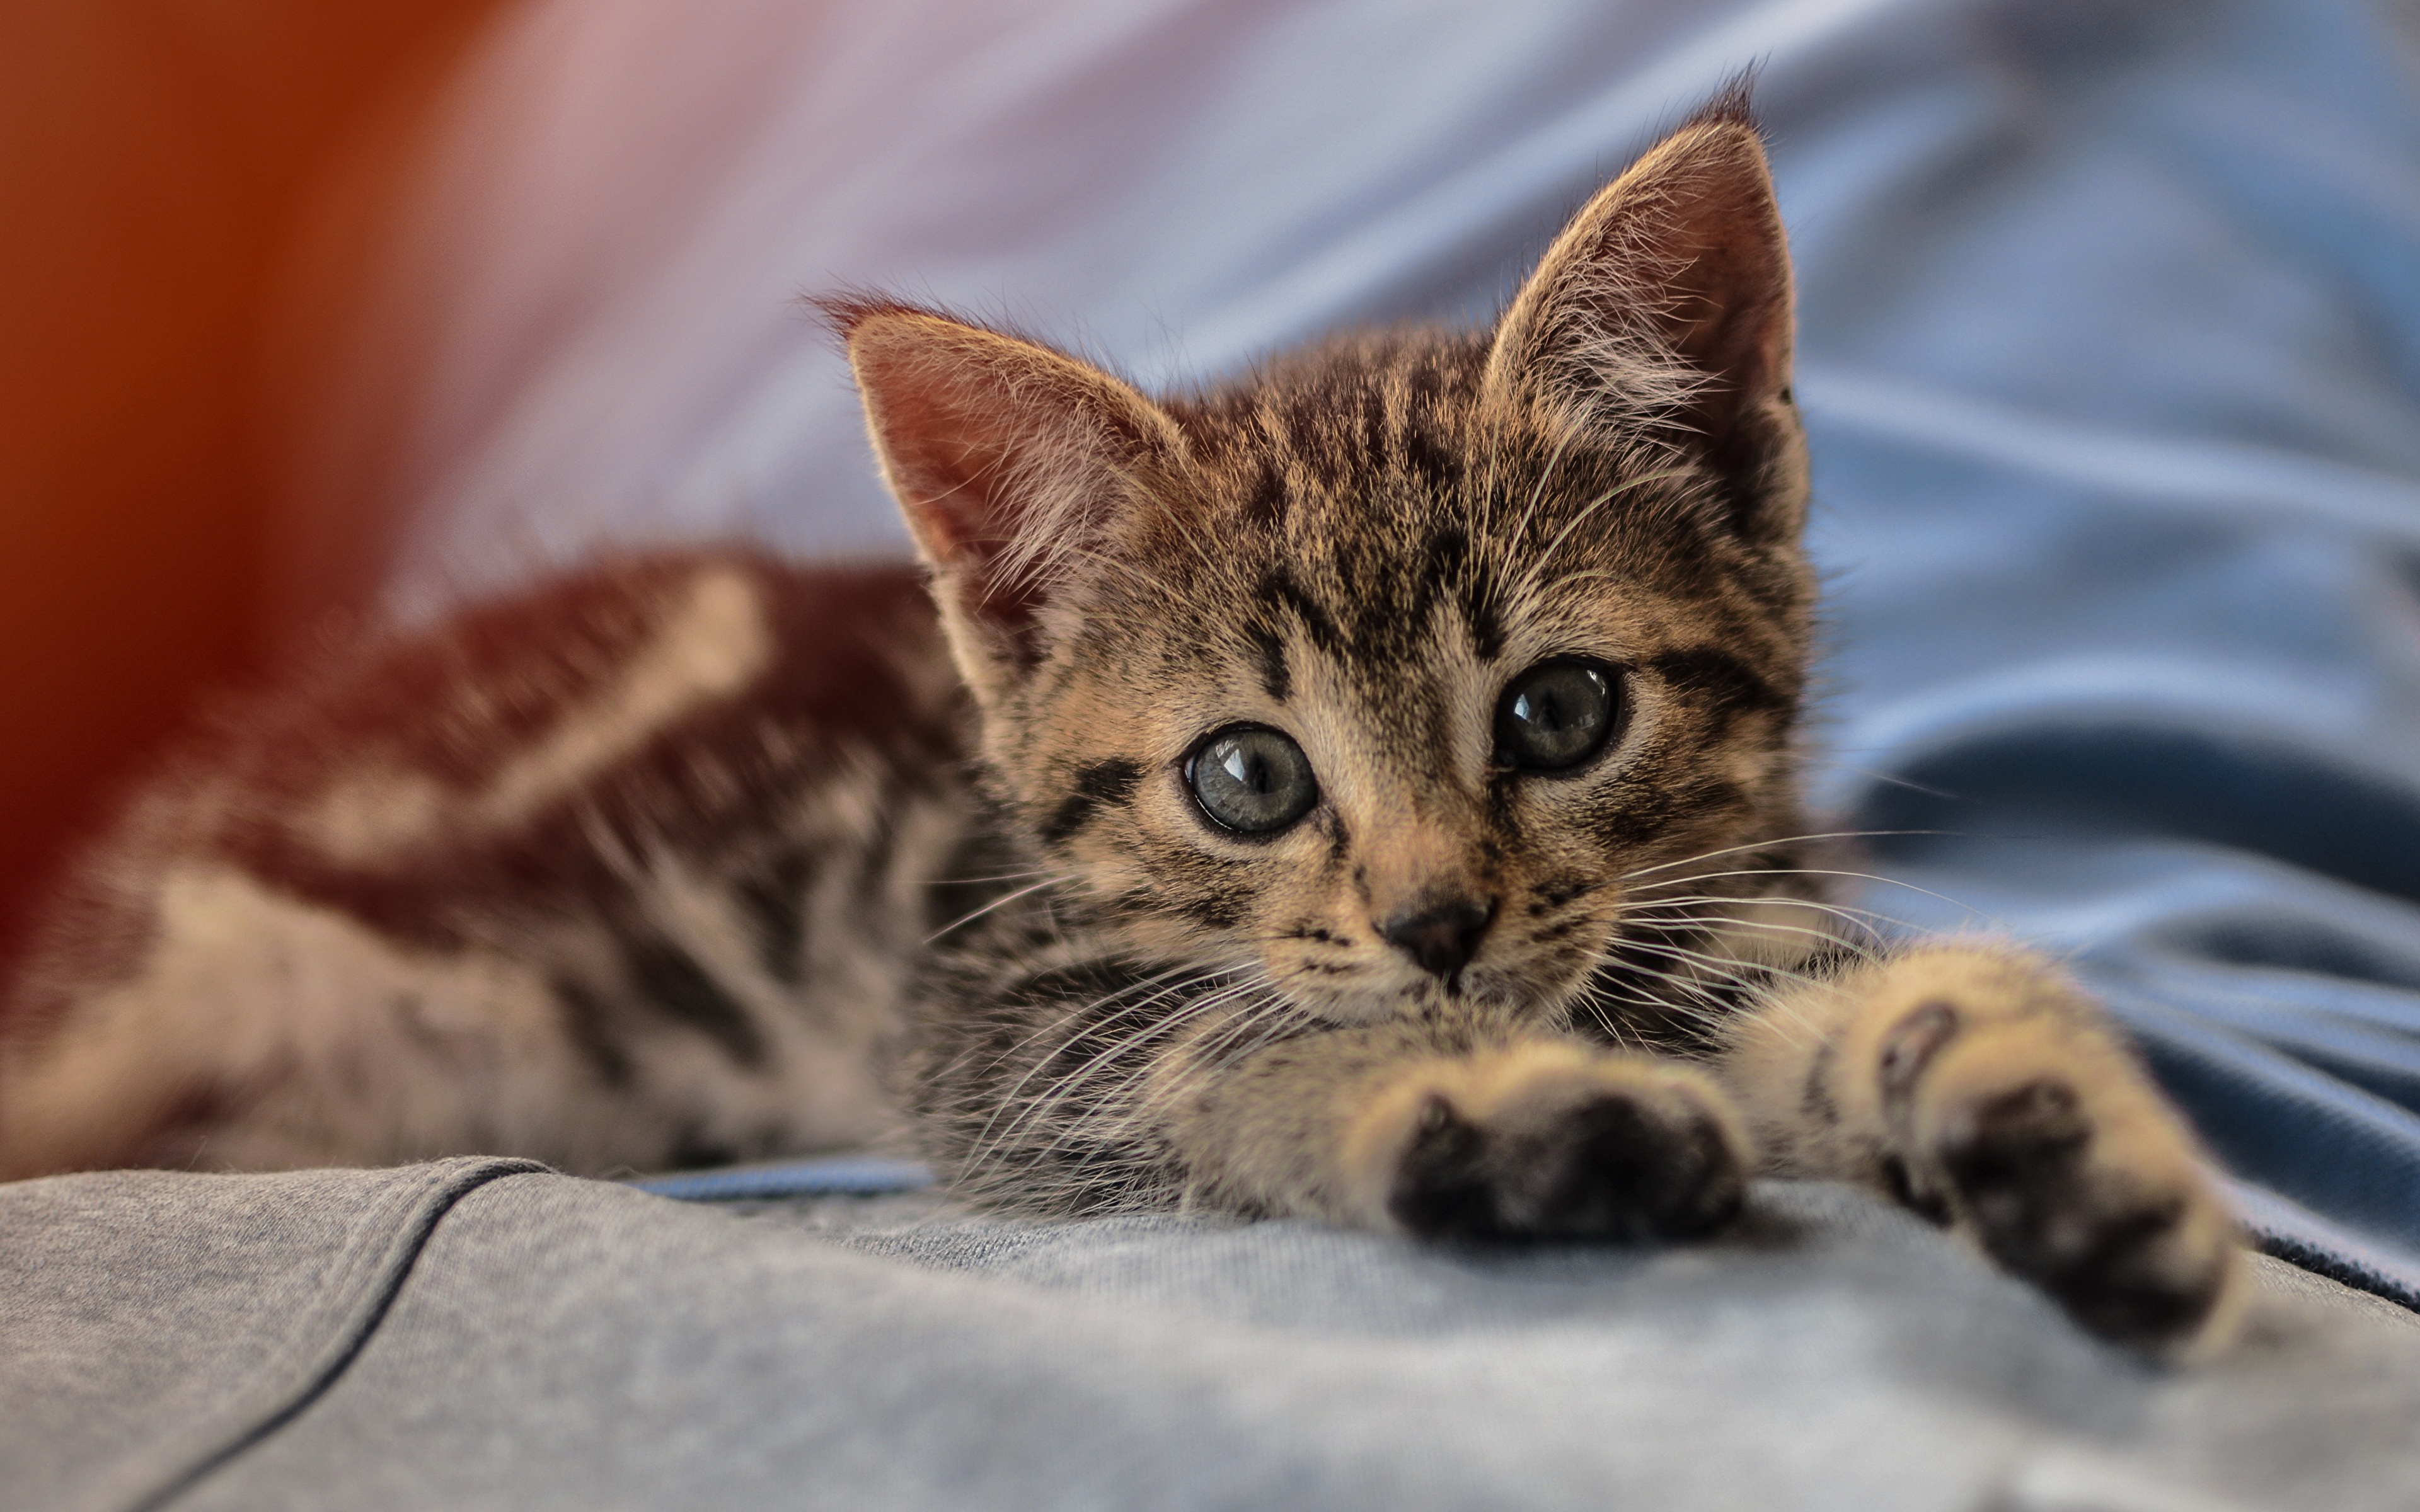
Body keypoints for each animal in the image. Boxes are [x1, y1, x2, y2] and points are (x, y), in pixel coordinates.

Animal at [0, 106, 2236, 1354]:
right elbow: (1240, 1045)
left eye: (1562, 706)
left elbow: (1898, 996)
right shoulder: (1001, 1021)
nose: (1436, 923)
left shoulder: (1705, 932)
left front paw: (2050, 1120)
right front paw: (1495, 1112)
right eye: (1245, 775)